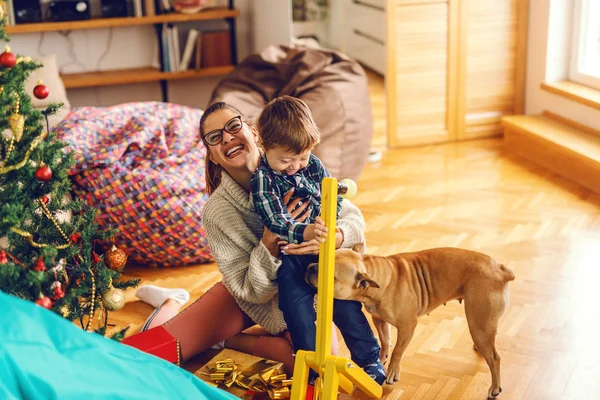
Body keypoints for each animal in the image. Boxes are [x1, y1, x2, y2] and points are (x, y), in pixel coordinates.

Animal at [308, 245, 512, 398]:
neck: (376, 276)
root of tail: (501, 270)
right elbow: (385, 340)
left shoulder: (407, 326)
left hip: (478, 322)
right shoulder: (379, 320)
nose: (309, 267)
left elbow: (398, 350)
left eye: (330, 275)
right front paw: (381, 358)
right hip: (481, 325)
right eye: (318, 258)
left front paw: (392, 372)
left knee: (495, 358)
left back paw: (495, 388)